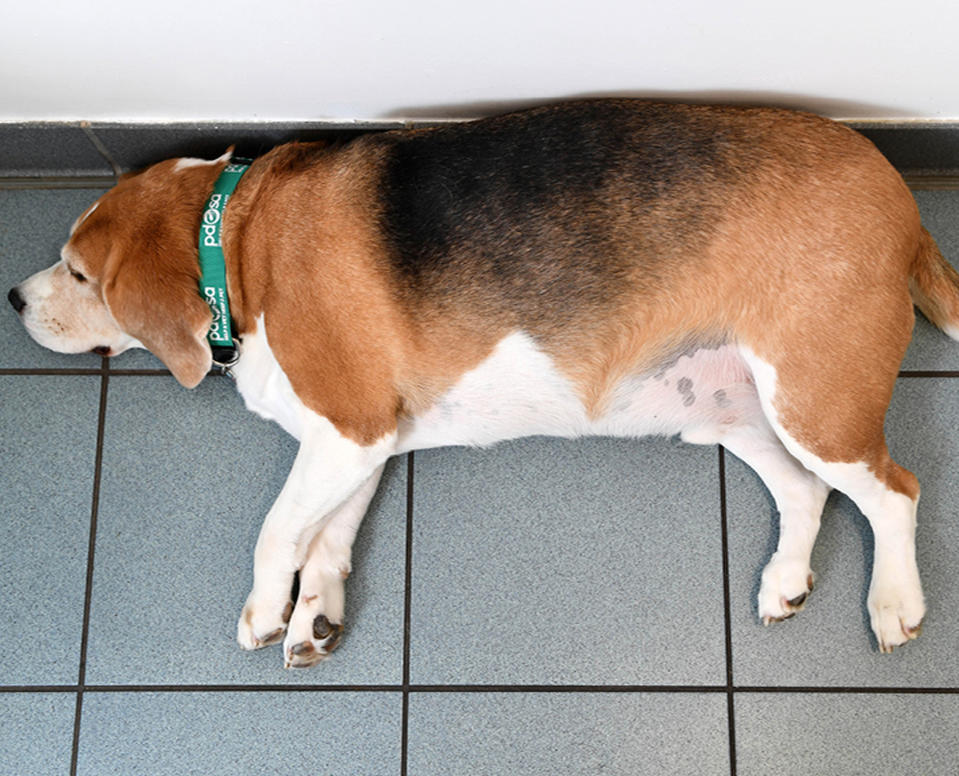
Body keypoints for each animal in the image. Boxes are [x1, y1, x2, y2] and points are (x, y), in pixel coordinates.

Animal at [9, 98, 959, 668]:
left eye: (80, 274)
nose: (14, 298)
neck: (235, 237)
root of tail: (901, 200)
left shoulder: (348, 426)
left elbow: (278, 529)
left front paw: (264, 609)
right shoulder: (364, 440)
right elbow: (326, 534)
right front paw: (314, 611)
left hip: (812, 397)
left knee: (894, 492)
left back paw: (894, 602)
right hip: (733, 409)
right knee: (808, 492)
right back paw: (783, 582)